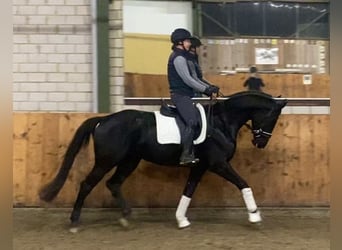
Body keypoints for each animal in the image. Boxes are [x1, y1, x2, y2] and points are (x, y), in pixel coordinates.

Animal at [39, 91, 286, 231]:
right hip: (106, 161)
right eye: (272, 117)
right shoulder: (218, 164)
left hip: (129, 160)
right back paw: (74, 222)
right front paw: (255, 217)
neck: (222, 122)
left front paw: (181, 220)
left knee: (113, 184)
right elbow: (243, 184)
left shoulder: (201, 166)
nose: (261, 142)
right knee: (87, 184)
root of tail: (103, 120)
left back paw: (126, 218)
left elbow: (188, 190)